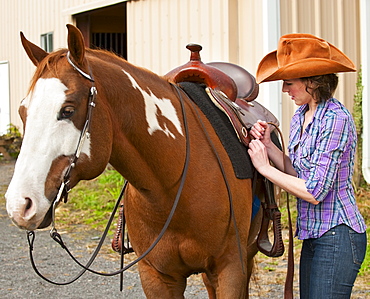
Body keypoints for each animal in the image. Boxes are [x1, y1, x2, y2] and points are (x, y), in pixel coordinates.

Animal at [6, 24, 266, 298]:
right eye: (23, 111)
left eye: (68, 110)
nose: (19, 205)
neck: (175, 187)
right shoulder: (156, 276)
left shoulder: (230, 269)